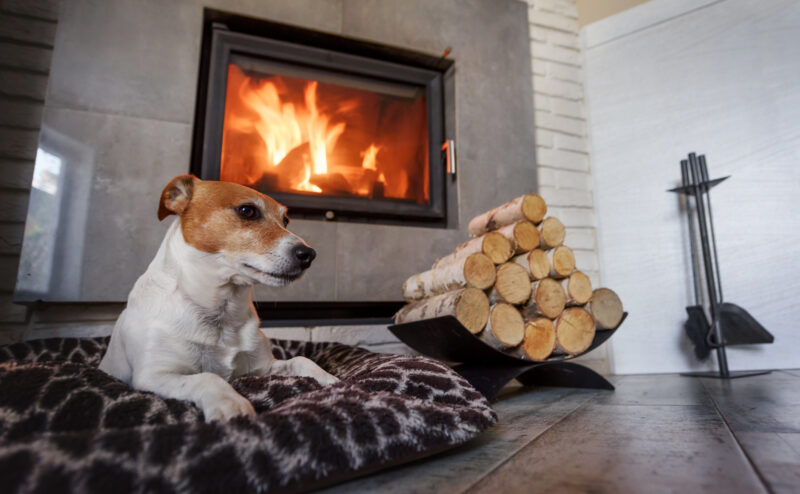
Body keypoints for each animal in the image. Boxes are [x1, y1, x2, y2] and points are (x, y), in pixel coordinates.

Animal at [99, 174, 338, 420]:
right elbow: (208, 377)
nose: (309, 254)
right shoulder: (154, 375)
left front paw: (332, 380)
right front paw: (232, 403)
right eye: (247, 211)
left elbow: (302, 360)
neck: (221, 311)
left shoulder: (262, 368)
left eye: (286, 221)